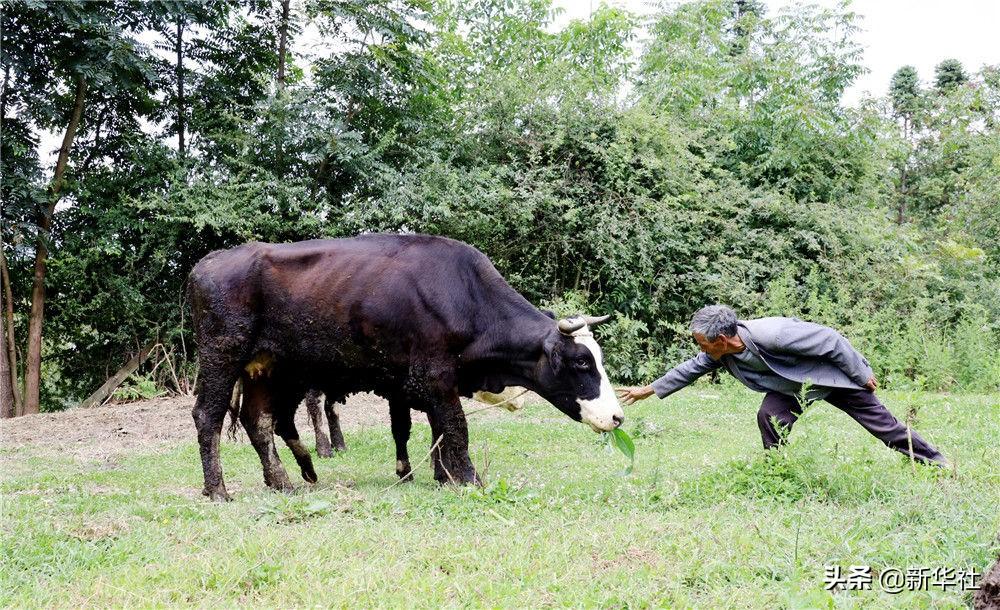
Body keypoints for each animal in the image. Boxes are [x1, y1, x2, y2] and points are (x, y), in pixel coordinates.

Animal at [187, 234, 620, 498]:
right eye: (581, 362)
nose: (617, 417)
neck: (464, 295)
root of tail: (210, 261)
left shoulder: (430, 384)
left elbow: (435, 430)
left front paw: (443, 476)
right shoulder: (432, 377)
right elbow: (455, 428)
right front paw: (468, 479)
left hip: (264, 367)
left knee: (258, 421)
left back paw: (282, 482)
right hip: (222, 356)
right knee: (208, 415)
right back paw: (218, 490)